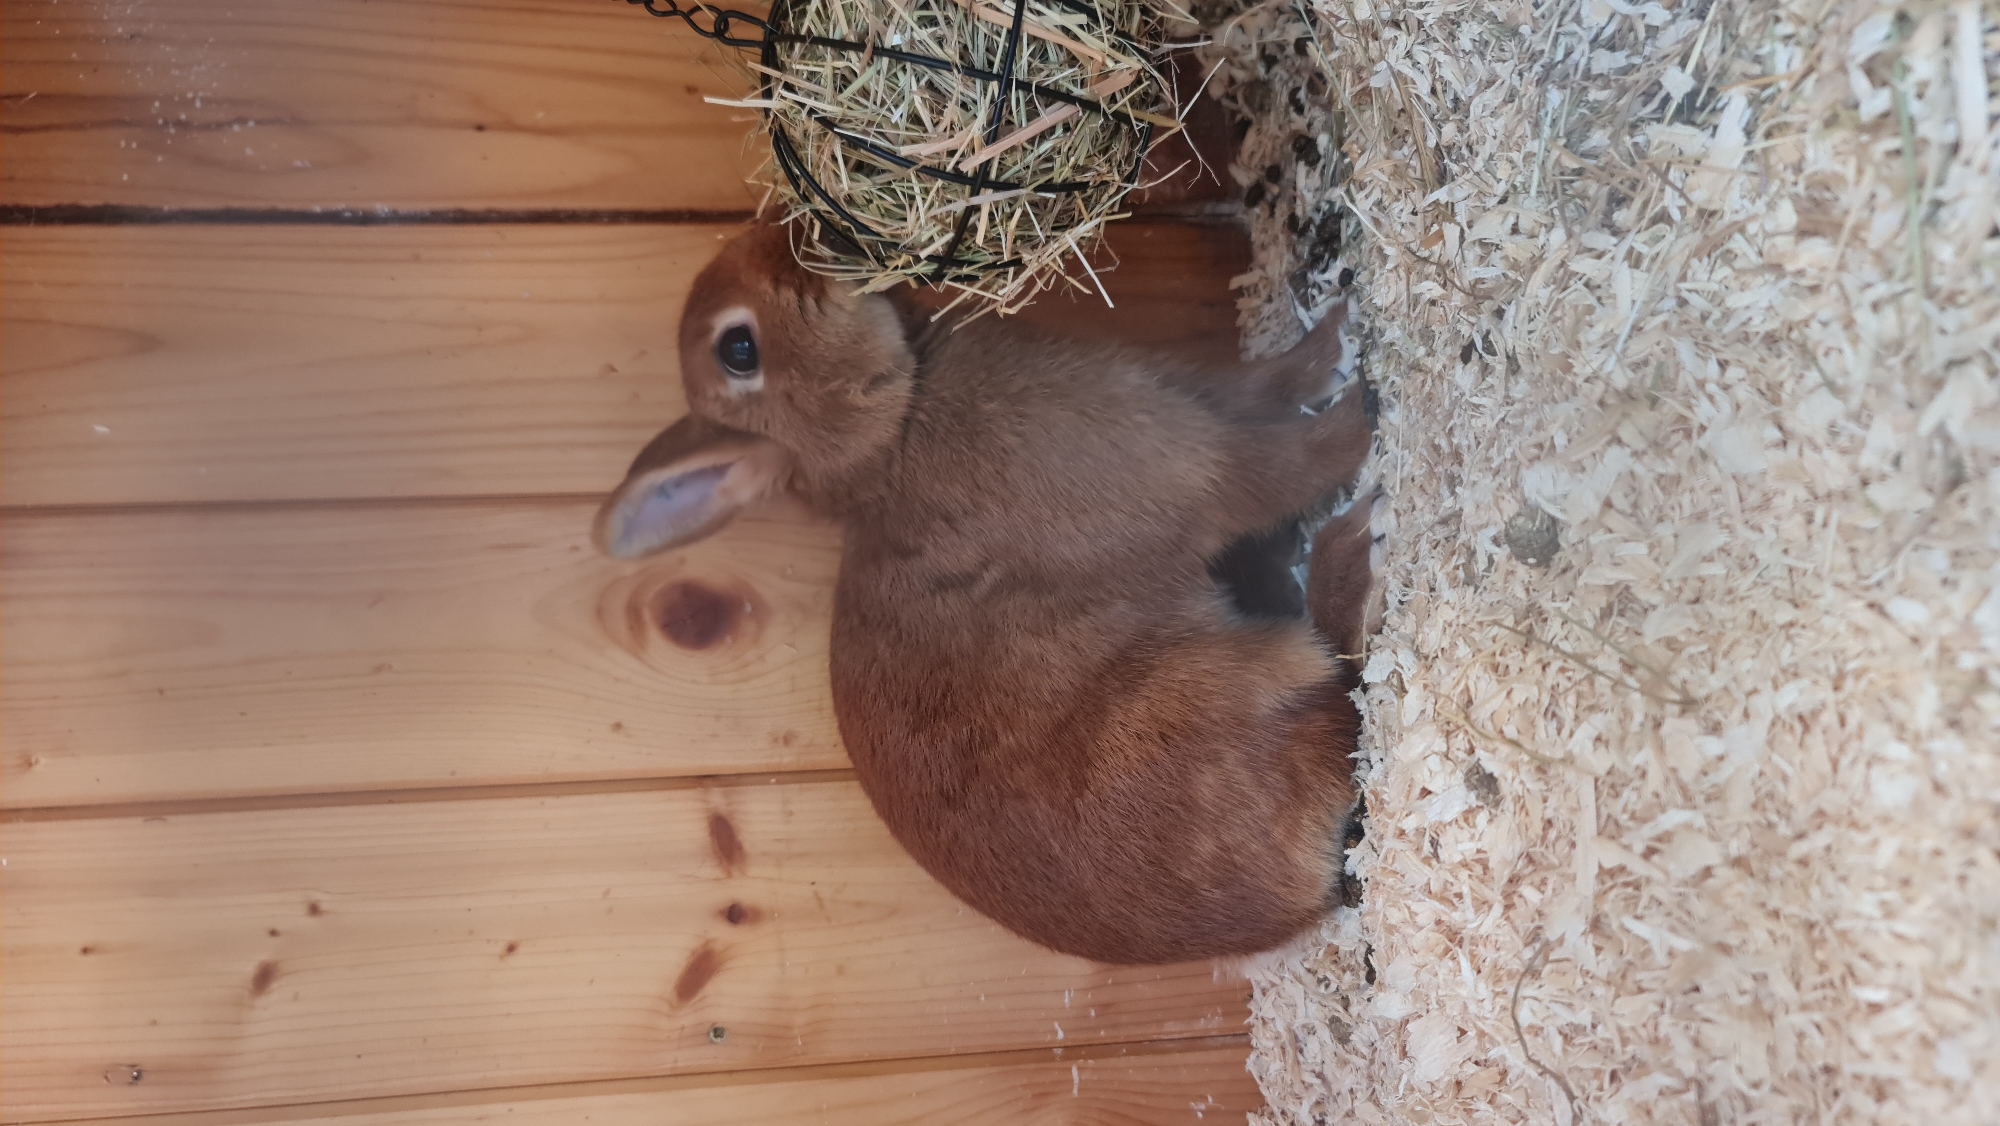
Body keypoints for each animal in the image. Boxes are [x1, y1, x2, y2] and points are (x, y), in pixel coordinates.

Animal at [594, 223, 1379, 965]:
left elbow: (1267, 385)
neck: (897, 426)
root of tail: (1292, 905)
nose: (783, 233)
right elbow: (1291, 462)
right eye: (738, 350)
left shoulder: (1180, 394)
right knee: (1339, 681)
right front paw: (1366, 405)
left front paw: (1335, 339)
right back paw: (1352, 542)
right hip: (1239, 687)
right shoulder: (1193, 470)